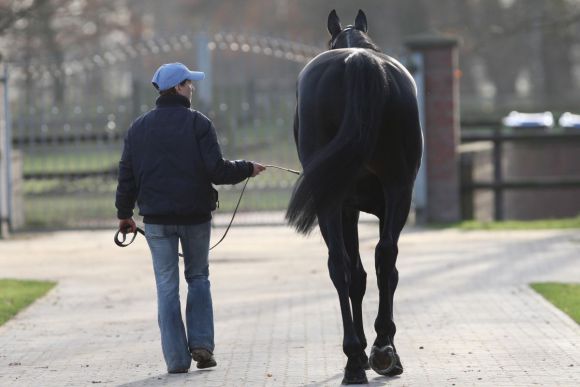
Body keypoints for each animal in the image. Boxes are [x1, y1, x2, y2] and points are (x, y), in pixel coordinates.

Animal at [288, 9, 424, 384]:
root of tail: (358, 62)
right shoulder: (367, 206)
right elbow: (372, 272)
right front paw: (374, 349)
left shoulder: (346, 208)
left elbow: (358, 276)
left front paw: (364, 352)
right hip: (396, 191)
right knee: (382, 259)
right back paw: (378, 351)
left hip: (339, 202)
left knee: (346, 266)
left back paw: (358, 358)